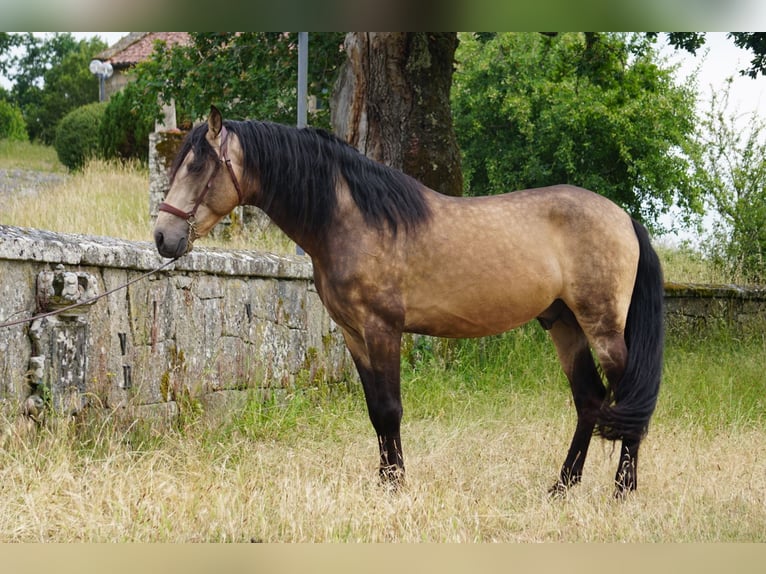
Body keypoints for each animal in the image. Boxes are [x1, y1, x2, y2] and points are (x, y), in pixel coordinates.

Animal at [153, 107, 664, 500]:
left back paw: (622, 490)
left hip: (603, 328)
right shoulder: (354, 335)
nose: (162, 237)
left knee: (628, 397)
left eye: (197, 167)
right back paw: (561, 487)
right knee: (590, 401)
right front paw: (385, 482)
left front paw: (397, 486)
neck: (352, 218)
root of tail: (624, 218)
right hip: (563, 325)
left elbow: (391, 409)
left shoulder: (383, 329)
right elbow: (375, 411)